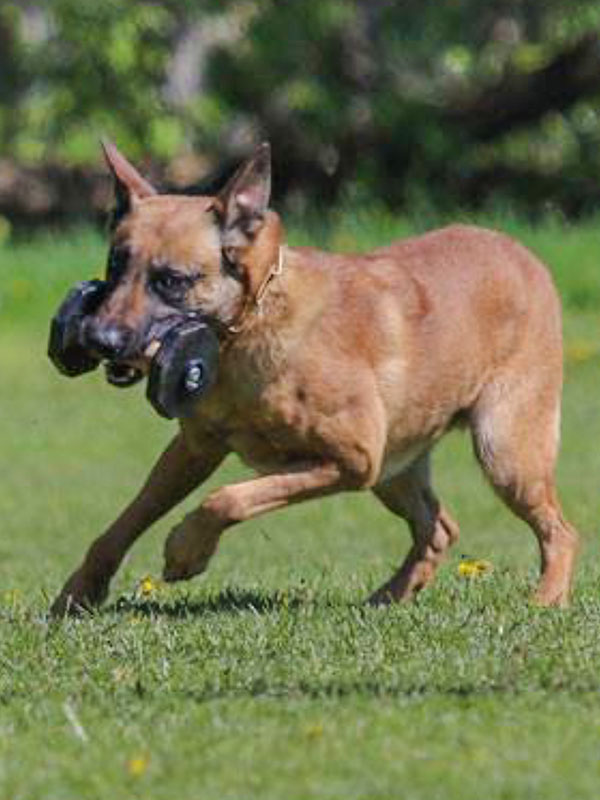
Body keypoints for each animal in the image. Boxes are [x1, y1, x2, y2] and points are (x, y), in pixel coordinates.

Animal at [50, 141, 576, 616]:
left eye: (172, 281)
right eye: (115, 265)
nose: (98, 339)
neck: (247, 331)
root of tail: (523, 255)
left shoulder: (352, 462)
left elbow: (228, 499)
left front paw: (186, 550)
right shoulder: (194, 448)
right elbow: (125, 521)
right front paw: (79, 592)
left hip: (503, 452)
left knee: (560, 531)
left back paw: (545, 600)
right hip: (398, 467)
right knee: (440, 528)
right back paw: (388, 598)